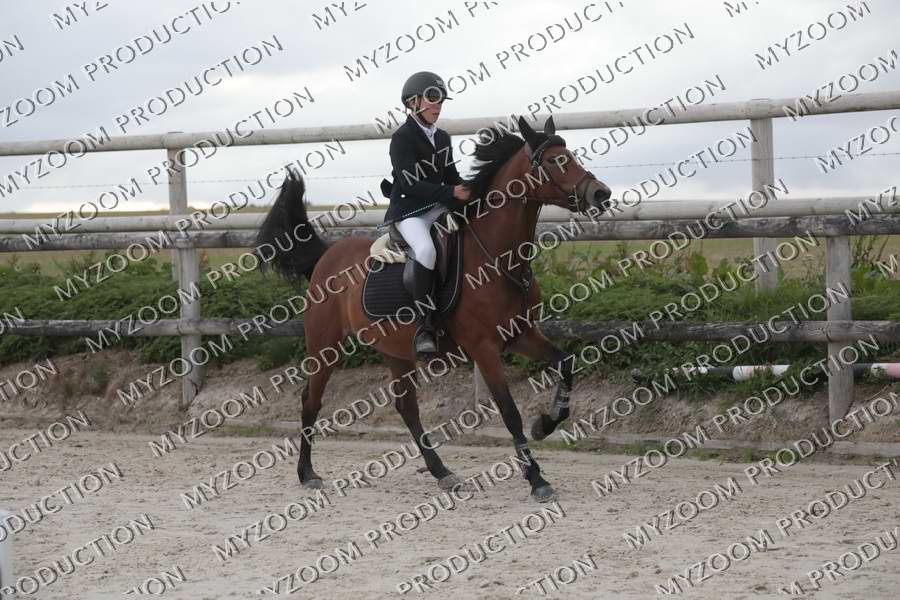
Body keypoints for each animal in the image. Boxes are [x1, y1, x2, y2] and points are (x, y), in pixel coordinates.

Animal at [256, 115, 612, 502]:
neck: (499, 258)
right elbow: (509, 411)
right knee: (311, 400)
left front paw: (544, 425)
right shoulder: (484, 348)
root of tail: (326, 256)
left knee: (407, 407)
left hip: (395, 350)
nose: (601, 194)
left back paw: (443, 472)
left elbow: (566, 363)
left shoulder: (522, 335)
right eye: (553, 161)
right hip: (325, 346)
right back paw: (307, 473)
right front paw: (537, 479)